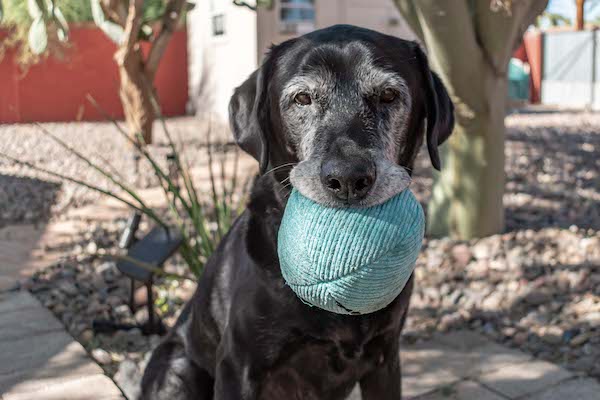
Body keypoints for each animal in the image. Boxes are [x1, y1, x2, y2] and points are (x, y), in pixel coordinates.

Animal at [139, 25, 450, 400]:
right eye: (303, 98)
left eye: (388, 95)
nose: (348, 178)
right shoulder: (237, 367)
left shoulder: (385, 360)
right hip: (178, 371)